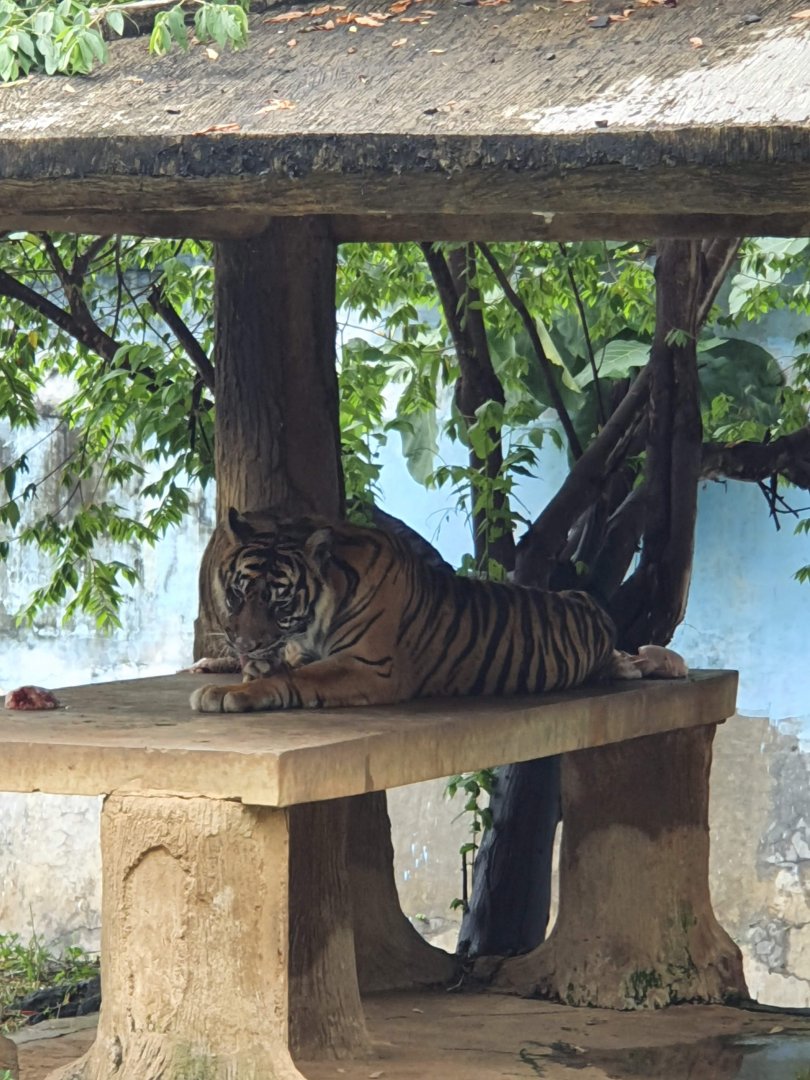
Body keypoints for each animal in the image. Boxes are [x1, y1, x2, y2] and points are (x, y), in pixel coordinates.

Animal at [190, 508, 683, 713]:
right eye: (236, 594)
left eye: (279, 600)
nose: (244, 642)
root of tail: (589, 602)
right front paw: (241, 668)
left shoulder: (372, 667)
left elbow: (295, 679)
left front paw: (225, 693)